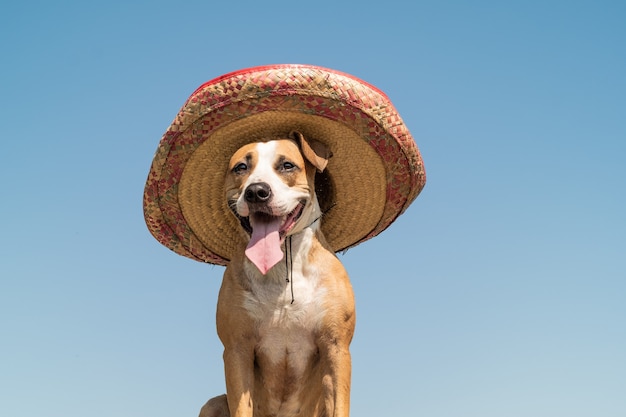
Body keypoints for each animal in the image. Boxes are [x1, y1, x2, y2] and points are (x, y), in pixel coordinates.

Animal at [200, 131, 356, 416]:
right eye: (241, 167)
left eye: (287, 165)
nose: (256, 191)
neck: (284, 266)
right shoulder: (237, 348)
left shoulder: (336, 346)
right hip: (212, 403)